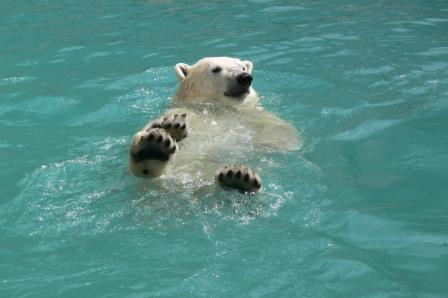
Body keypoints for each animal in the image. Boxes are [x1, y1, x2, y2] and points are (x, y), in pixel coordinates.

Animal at [128, 57, 300, 193]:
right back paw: (153, 149)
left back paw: (240, 178)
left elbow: (282, 130)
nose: (244, 77)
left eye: (243, 67)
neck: (218, 110)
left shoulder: (249, 115)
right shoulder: (188, 112)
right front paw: (171, 126)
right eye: (216, 69)